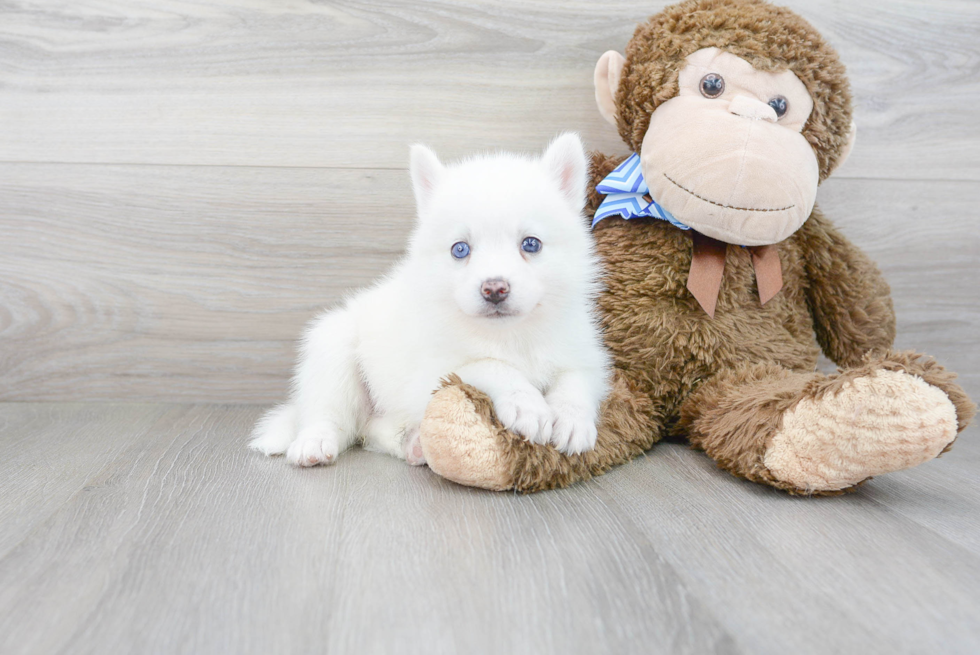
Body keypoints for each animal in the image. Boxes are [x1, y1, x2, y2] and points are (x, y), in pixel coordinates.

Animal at [249, 133, 608, 466]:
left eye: (531, 244)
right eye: (460, 249)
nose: (494, 289)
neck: (509, 336)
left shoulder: (583, 352)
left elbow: (577, 379)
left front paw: (572, 419)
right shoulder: (429, 375)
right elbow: (488, 365)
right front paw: (526, 403)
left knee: (370, 429)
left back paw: (413, 443)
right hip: (333, 350)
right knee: (330, 414)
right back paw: (314, 442)